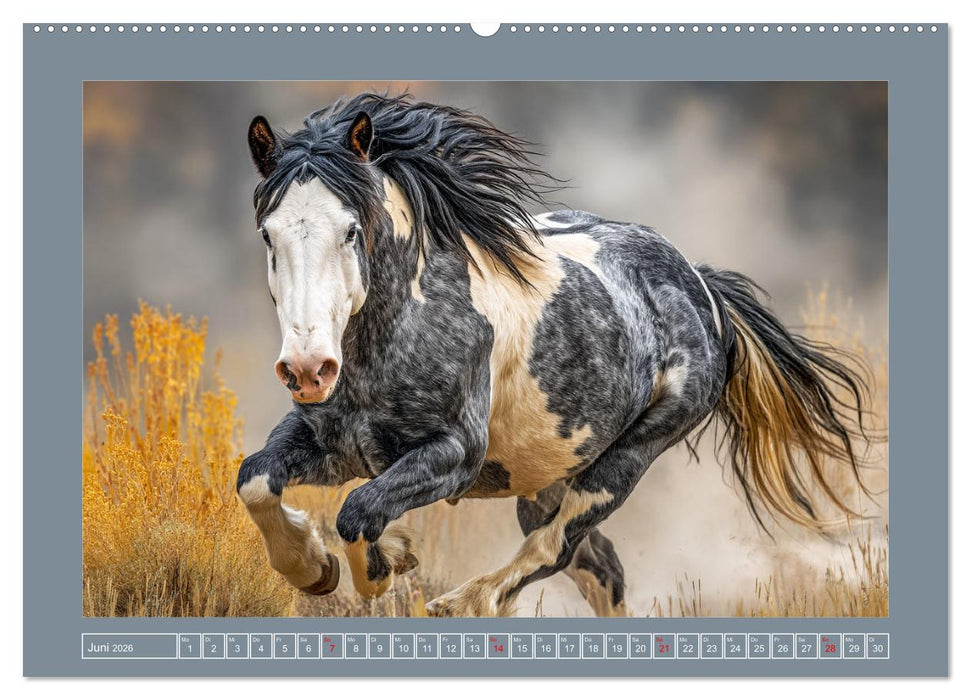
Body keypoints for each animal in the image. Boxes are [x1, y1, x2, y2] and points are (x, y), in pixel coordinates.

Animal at [235, 93, 870, 617]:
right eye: (268, 233)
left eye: (350, 230)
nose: (308, 369)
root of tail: (701, 286)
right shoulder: (332, 443)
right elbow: (256, 480)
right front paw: (312, 568)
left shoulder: (455, 454)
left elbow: (358, 513)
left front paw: (383, 565)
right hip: (546, 478)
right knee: (599, 566)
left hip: (625, 461)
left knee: (555, 548)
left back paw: (465, 603)